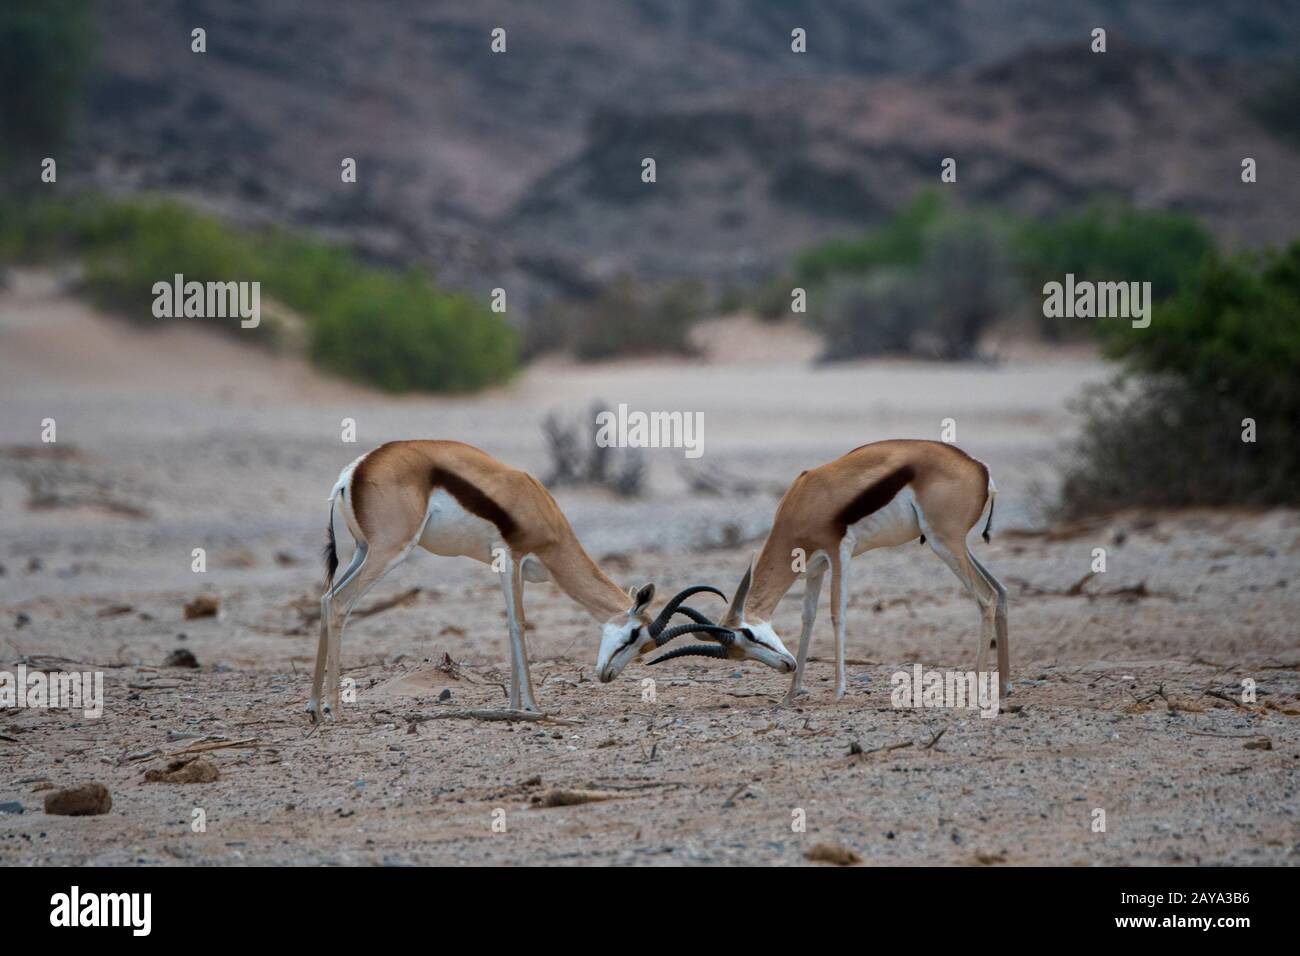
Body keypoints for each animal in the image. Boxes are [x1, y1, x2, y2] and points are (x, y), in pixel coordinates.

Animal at [308, 439, 728, 717]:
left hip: (362, 551)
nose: (607, 675)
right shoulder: (510, 557)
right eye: (633, 635)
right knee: (340, 603)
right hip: (389, 551)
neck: (540, 510)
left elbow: (511, 627)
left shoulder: (517, 570)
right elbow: (518, 625)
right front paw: (532, 706)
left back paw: (313, 707)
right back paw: (336, 711)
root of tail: (353, 473)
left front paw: (512, 706)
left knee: (327, 599)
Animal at [647, 442, 1003, 702]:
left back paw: (976, 685)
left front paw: (838, 690)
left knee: (985, 597)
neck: (803, 501)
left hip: (944, 544)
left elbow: (836, 614)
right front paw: (792, 691)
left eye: (748, 634)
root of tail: (981, 470)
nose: (785, 665)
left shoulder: (838, 552)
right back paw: (1005, 686)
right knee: (1000, 590)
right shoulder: (814, 567)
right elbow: (808, 619)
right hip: (956, 545)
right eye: (740, 655)